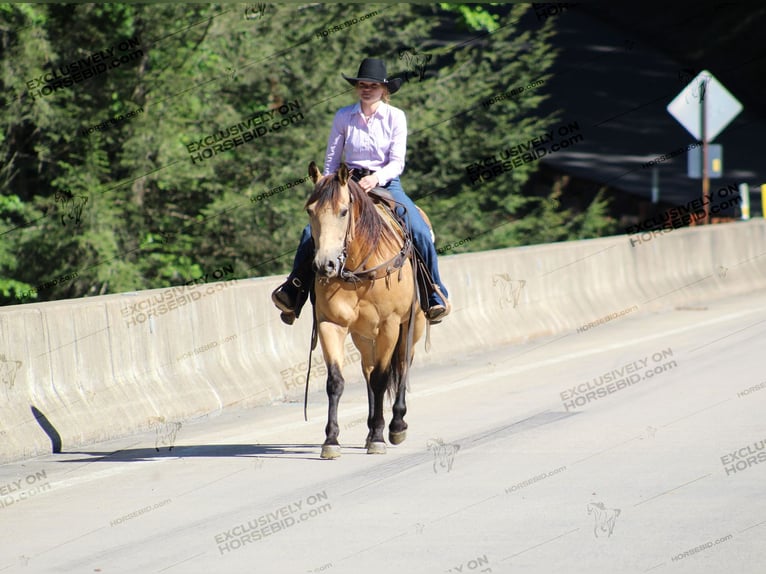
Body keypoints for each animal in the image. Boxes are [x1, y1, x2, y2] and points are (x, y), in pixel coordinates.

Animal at [304, 161, 426, 460]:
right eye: (310, 211)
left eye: (343, 211)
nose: (325, 265)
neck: (358, 268)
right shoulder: (330, 324)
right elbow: (336, 381)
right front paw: (331, 440)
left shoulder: (389, 326)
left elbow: (382, 380)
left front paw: (380, 438)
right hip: (363, 335)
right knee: (369, 371)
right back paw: (371, 429)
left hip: (412, 326)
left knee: (402, 365)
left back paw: (395, 425)